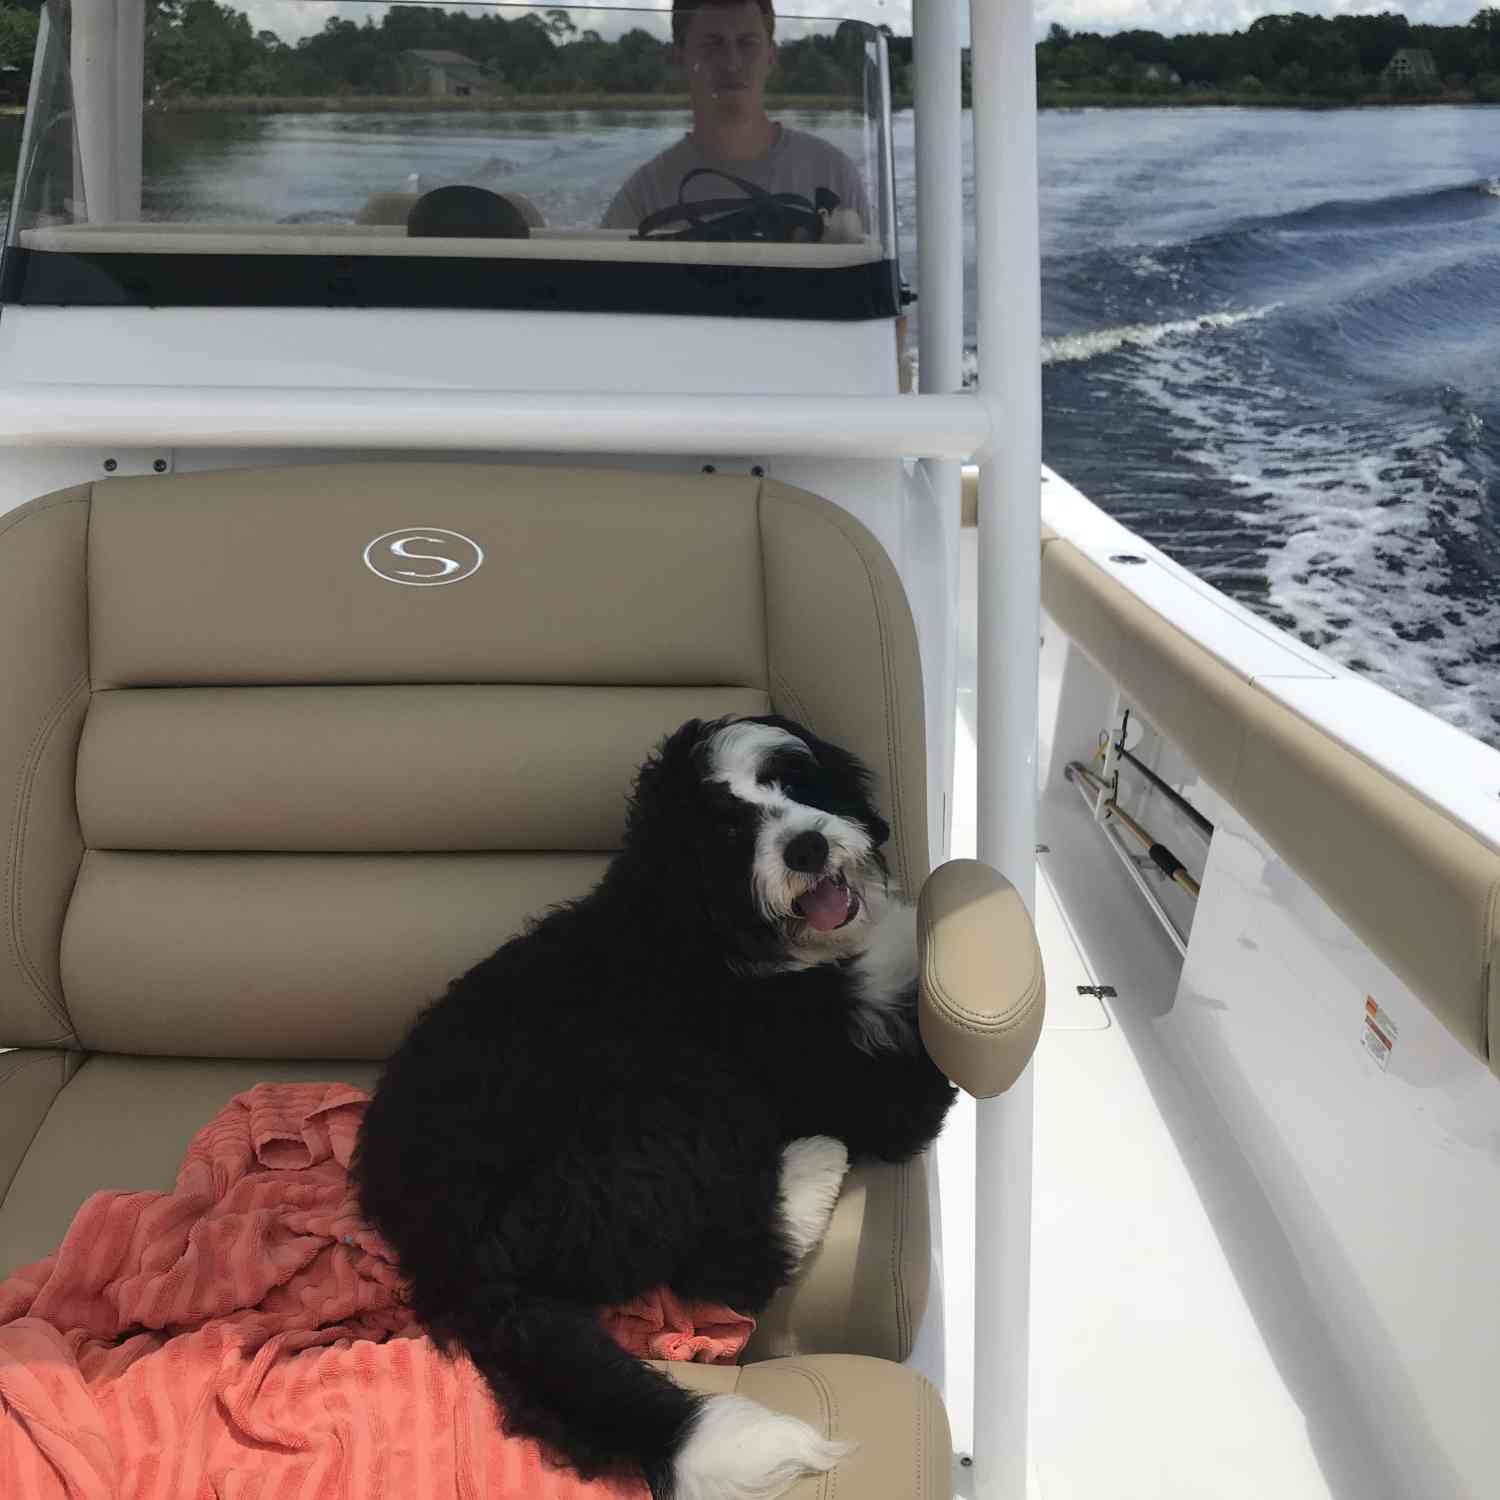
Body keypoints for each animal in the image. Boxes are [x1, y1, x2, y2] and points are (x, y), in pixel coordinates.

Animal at [354, 714, 948, 1500]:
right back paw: (811, 1170)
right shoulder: (834, 1076)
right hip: (672, 1103)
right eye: (726, 831)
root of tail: (455, 1257)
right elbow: (915, 1083)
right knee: (721, 1267)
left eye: (789, 780)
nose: (806, 847)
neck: (719, 937)